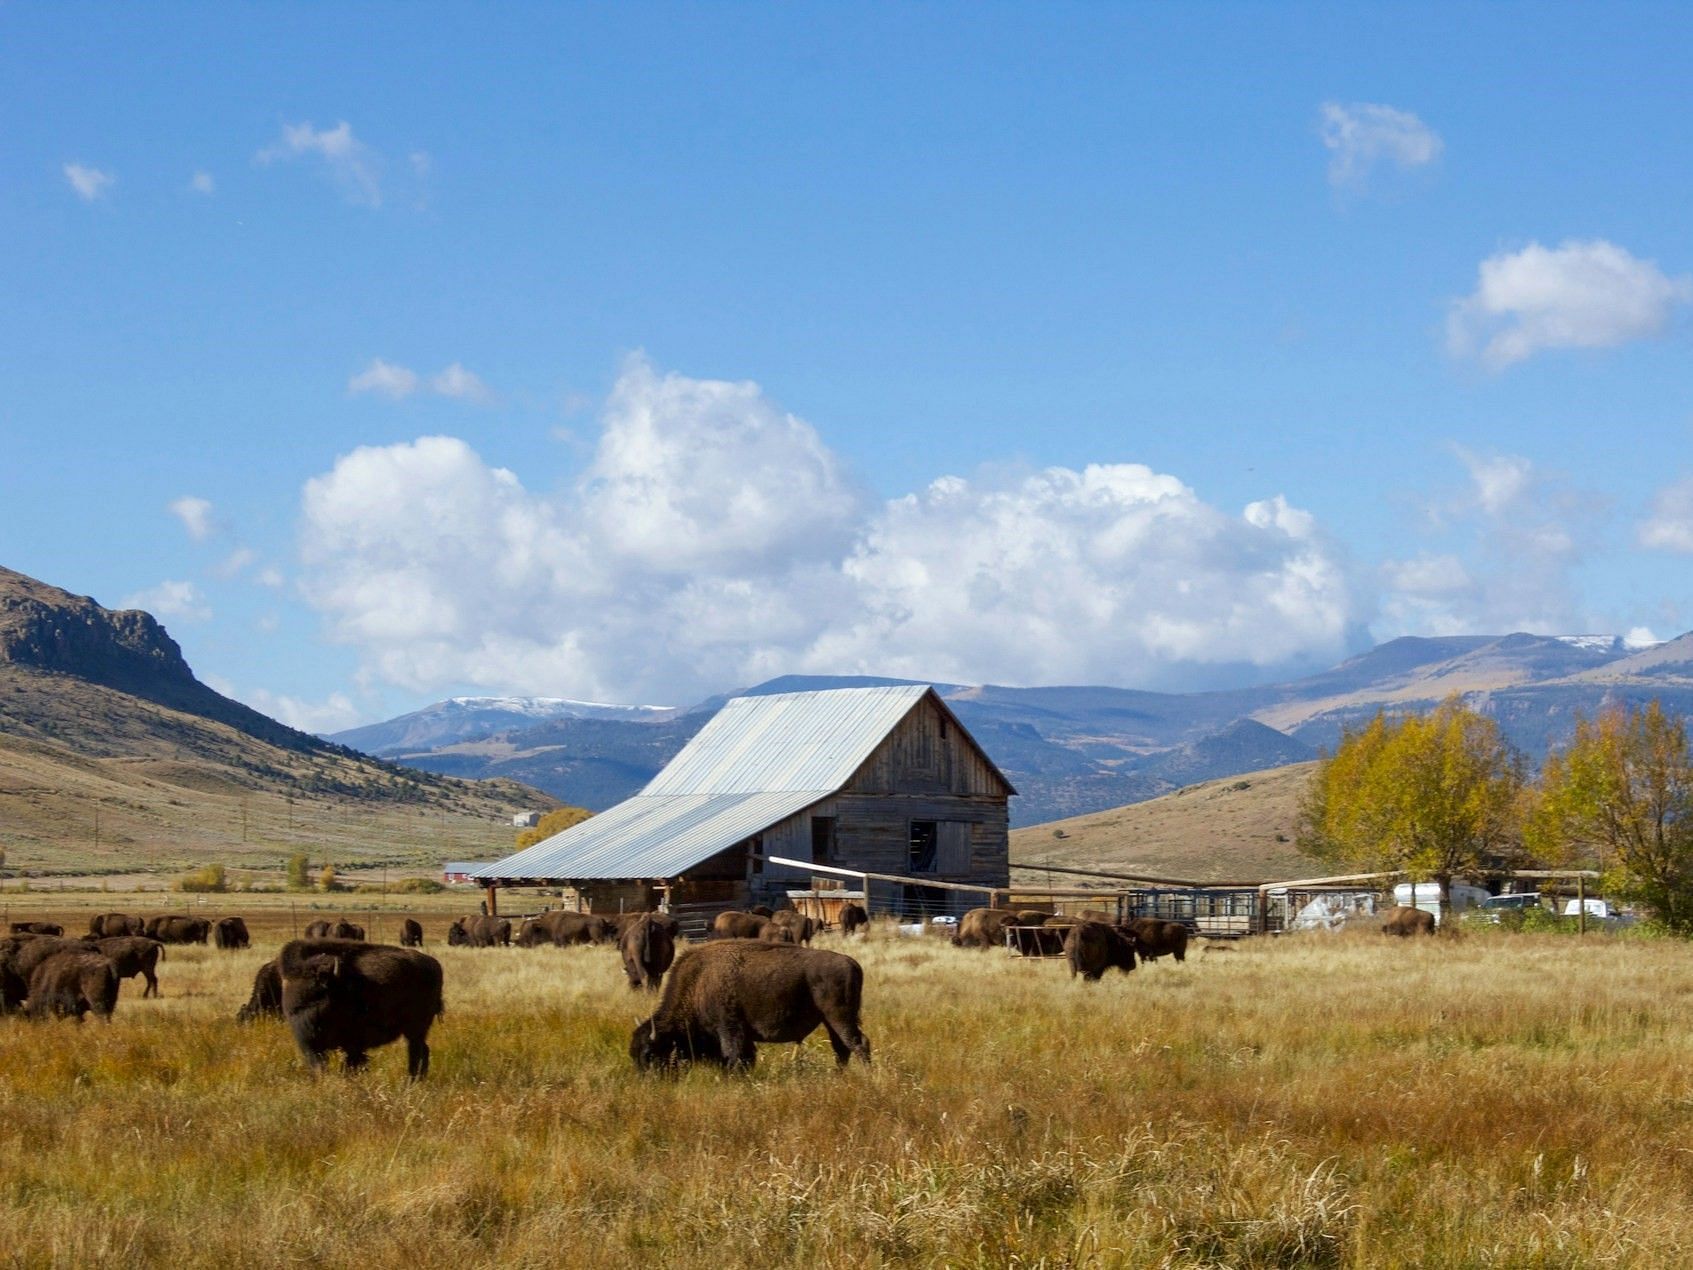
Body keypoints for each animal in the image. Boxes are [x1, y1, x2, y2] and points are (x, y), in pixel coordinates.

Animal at [275, 941, 443, 1076]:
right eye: (293, 1007)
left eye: (319, 994)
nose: (309, 1031)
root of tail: (433, 964)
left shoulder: (353, 1043)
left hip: (415, 1029)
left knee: (417, 1051)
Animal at [636, 948, 873, 1076]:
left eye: (650, 1054)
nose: (649, 1080)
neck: (698, 983)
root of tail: (851, 962)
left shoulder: (729, 1028)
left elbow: (733, 1056)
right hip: (830, 1020)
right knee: (842, 1048)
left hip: (839, 1017)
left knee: (858, 1043)